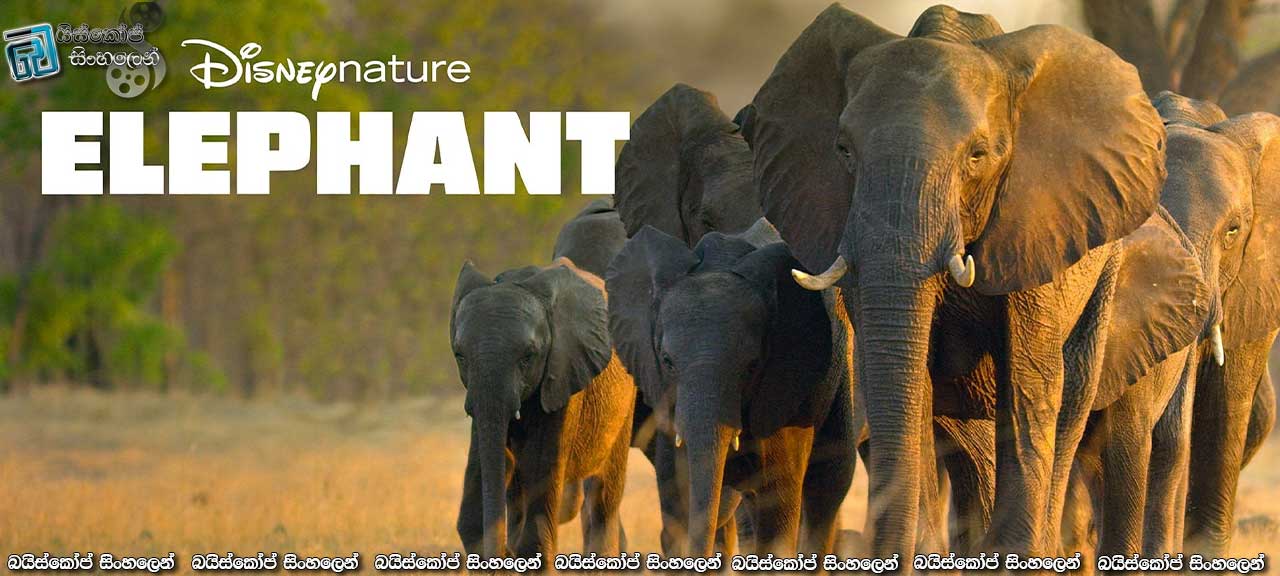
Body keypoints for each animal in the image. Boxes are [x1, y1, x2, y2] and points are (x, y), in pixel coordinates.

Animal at [451, 257, 636, 559]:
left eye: (528, 357)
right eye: (460, 356)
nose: (505, 551)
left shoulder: (563, 373)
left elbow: (541, 467)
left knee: (605, 494)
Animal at [606, 219, 856, 556]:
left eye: (752, 366)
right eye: (667, 361)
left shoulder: (784, 385)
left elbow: (777, 505)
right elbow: (678, 500)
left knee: (829, 483)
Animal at [739, 4, 1166, 557]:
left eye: (977, 155)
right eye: (843, 150)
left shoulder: (1034, 222)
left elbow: (1028, 382)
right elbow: (904, 379)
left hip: (1105, 271)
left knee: (1068, 403)